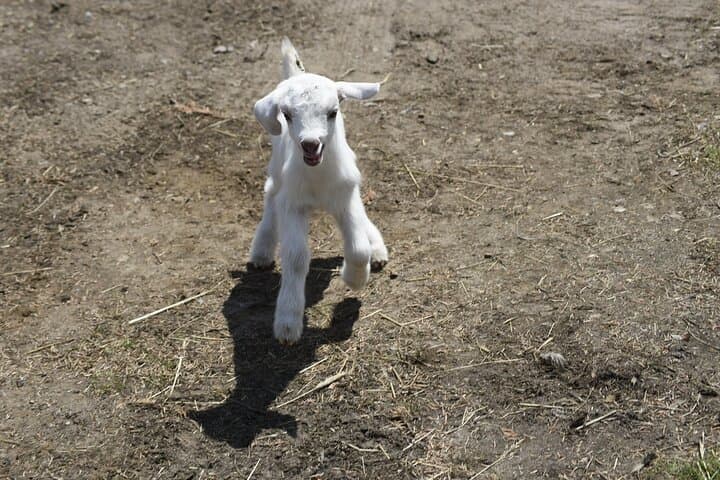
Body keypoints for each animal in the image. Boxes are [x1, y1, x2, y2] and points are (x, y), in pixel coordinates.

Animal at [249, 38, 388, 344]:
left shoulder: (344, 197)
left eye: (332, 112)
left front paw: (354, 279)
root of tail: (295, 75)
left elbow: (358, 248)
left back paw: (377, 247)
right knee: (270, 193)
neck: (317, 178)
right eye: (287, 115)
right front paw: (288, 324)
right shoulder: (292, 203)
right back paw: (261, 251)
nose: (310, 144)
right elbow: (296, 258)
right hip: (277, 168)